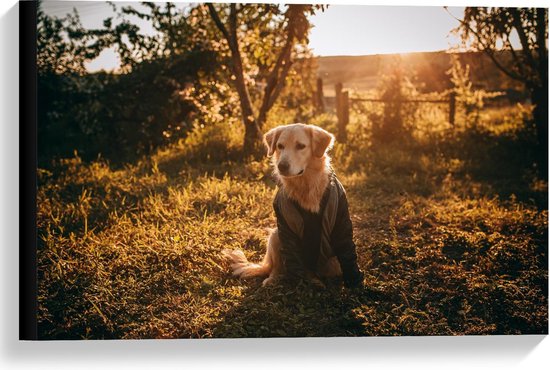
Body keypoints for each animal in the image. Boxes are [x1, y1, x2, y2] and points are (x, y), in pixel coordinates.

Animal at [222, 123, 364, 288]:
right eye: (280, 146)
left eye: (301, 146)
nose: (281, 166)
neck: (305, 184)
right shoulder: (285, 226)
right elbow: (293, 262)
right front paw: (299, 283)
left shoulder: (341, 221)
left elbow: (347, 252)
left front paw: (354, 280)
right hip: (275, 235)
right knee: (278, 267)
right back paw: (274, 279)